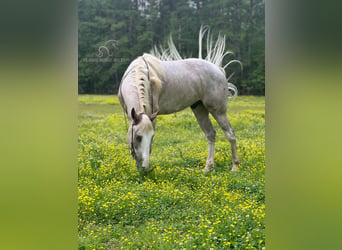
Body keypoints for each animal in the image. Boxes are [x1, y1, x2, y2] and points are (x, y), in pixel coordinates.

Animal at [117, 26, 240, 174]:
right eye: (138, 137)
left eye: (152, 137)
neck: (139, 75)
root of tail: (218, 69)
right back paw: (208, 167)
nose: (145, 168)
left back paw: (235, 167)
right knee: (211, 134)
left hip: (218, 111)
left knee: (230, 134)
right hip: (199, 109)